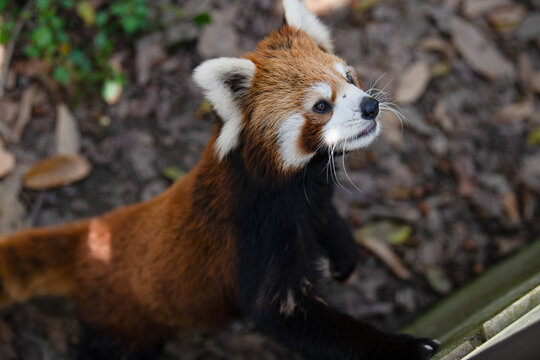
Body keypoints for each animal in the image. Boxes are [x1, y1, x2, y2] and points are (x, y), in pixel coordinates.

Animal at [0, 1, 438, 358]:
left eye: (349, 76)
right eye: (320, 106)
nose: (370, 105)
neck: (293, 185)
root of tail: (91, 235)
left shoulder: (314, 198)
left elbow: (329, 220)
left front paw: (345, 257)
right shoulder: (258, 237)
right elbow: (283, 315)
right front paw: (405, 348)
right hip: (121, 319)